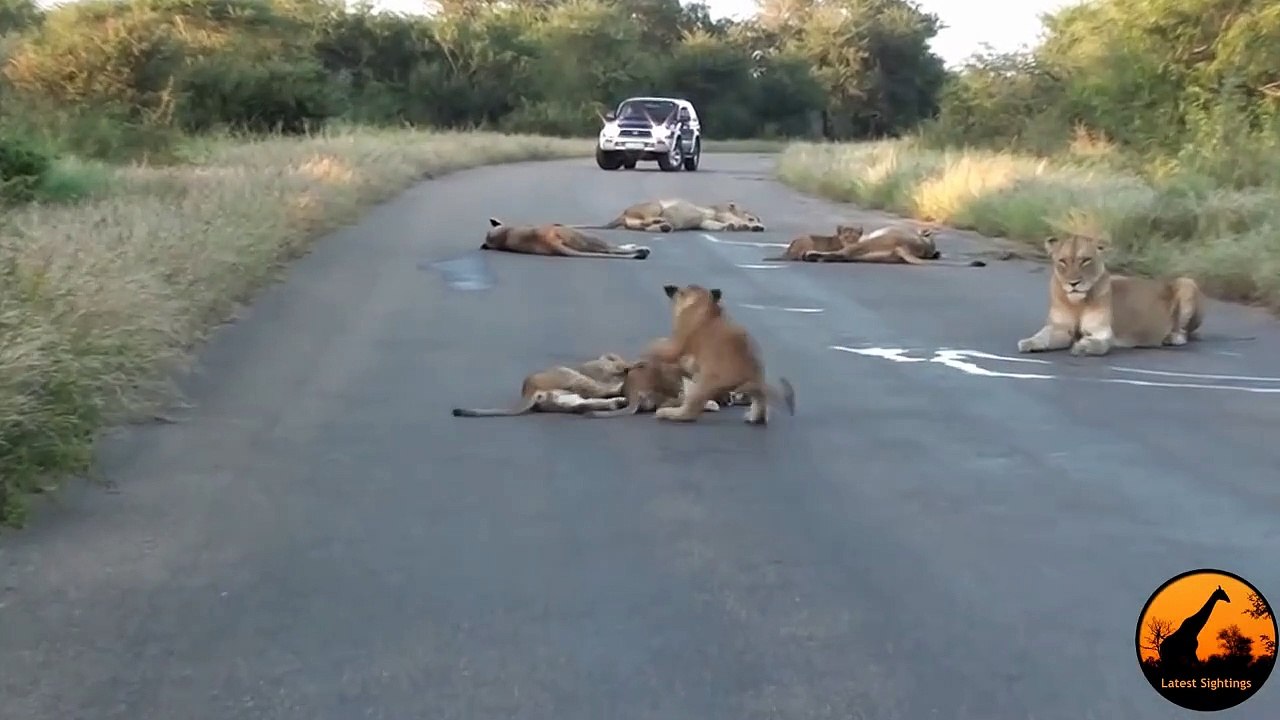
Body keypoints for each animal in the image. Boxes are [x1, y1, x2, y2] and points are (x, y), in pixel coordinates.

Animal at [452, 353, 633, 417]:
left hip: (566, 399)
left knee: (584, 404)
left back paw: (617, 402)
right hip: (572, 377)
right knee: (602, 392)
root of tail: (527, 388)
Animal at [643, 285, 796, 425]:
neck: (704, 303)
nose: (669, 289)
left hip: (705, 382)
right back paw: (753, 417)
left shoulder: (676, 344)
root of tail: (748, 376)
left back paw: (667, 413)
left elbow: (658, 346)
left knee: (690, 411)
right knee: (760, 406)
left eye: (681, 292)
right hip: (756, 387)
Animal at [1016, 234, 1204, 357]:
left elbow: (1098, 345)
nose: (1073, 283)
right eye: (1063, 261)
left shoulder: (1102, 332)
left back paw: (1171, 338)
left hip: (1187, 283)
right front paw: (1029, 343)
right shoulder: (1059, 328)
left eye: (1086, 260)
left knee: (1183, 332)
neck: (1078, 303)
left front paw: (1082, 346)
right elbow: (1043, 336)